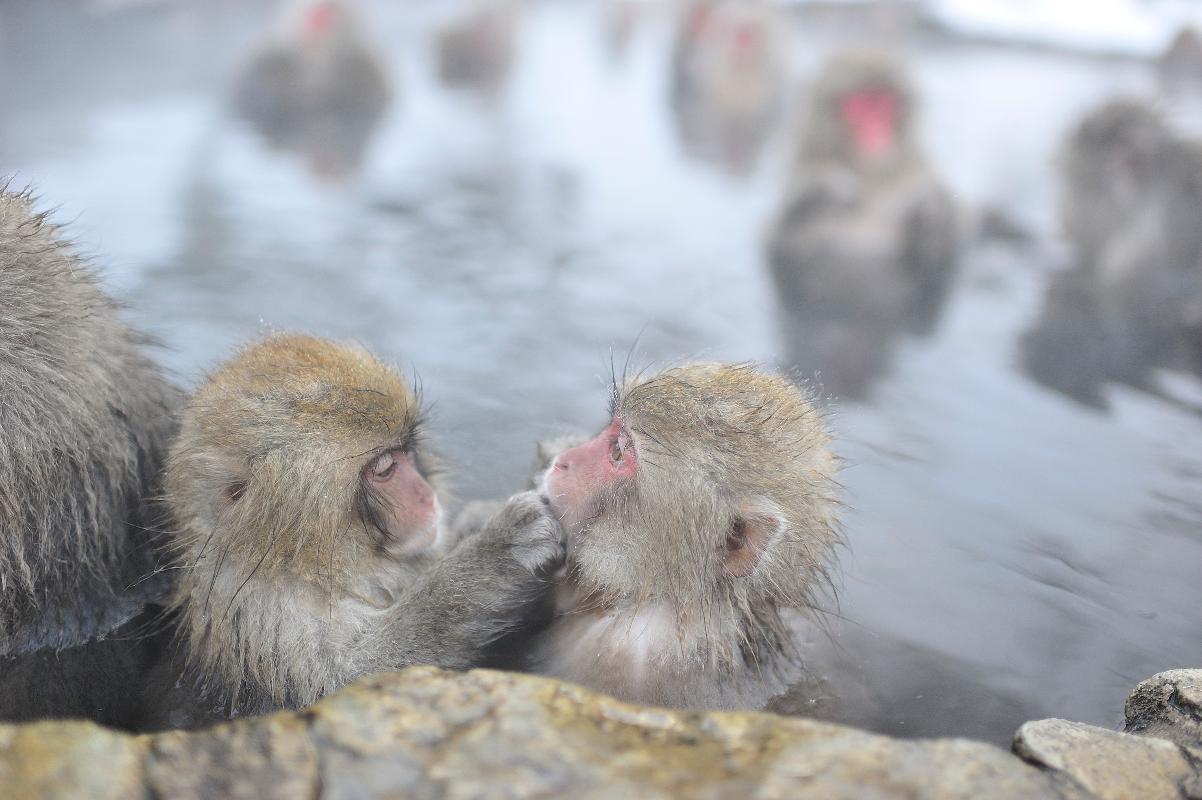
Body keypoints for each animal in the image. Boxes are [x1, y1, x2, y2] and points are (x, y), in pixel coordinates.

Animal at [137, 333, 562, 725]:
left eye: (407, 451)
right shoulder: (265, 622)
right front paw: (497, 549)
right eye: (384, 469)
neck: (302, 566)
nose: (428, 498)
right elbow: (349, 684)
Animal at [769, 49, 956, 398]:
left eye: (885, 103)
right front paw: (819, 200)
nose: (876, 129)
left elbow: (937, 276)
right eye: (858, 105)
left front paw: (928, 221)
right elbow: (782, 256)